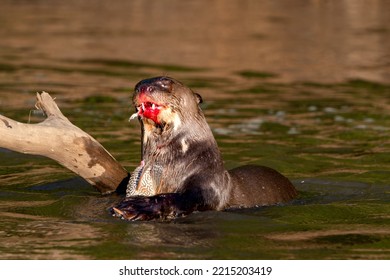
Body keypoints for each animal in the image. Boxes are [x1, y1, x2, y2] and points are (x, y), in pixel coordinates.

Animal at [110, 76, 296, 221]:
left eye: (166, 82)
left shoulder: (209, 184)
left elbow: (182, 199)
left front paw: (138, 206)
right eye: (137, 85)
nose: (142, 87)